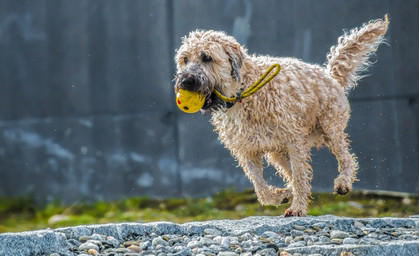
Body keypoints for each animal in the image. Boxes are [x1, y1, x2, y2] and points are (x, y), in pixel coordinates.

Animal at [174, 16, 390, 216]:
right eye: (185, 59)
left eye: (207, 58)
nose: (185, 81)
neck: (243, 92)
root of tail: (329, 76)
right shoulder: (246, 150)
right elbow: (261, 186)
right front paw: (280, 196)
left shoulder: (294, 141)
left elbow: (300, 177)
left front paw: (297, 208)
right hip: (278, 152)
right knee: (294, 172)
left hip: (330, 128)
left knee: (346, 158)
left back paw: (343, 183)